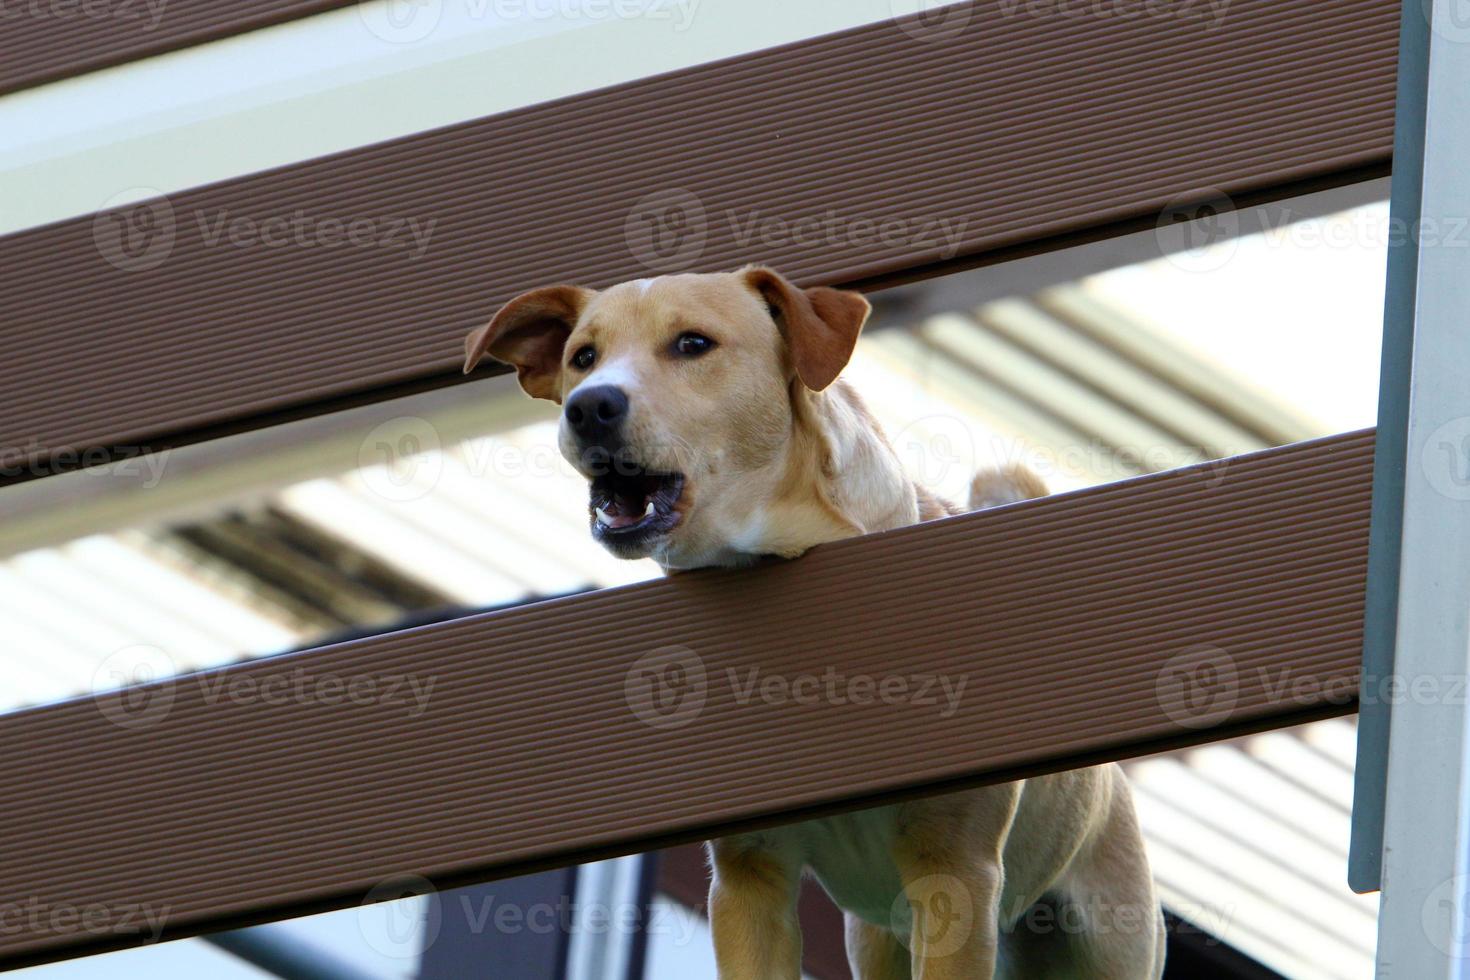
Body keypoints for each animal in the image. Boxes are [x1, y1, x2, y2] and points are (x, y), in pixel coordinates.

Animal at [464, 268, 1164, 980]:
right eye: (583, 357)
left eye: (692, 343)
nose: (588, 405)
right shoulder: (750, 882)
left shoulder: (956, 873)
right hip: (877, 940)